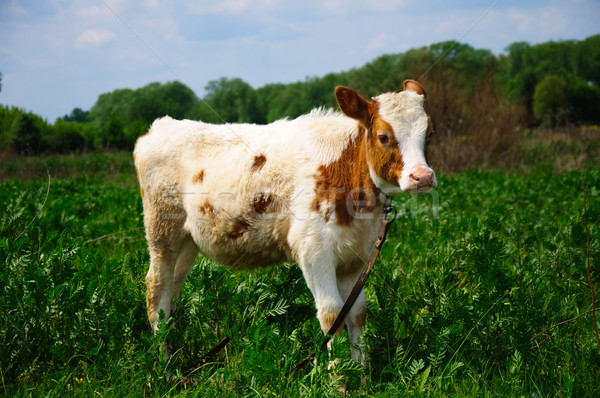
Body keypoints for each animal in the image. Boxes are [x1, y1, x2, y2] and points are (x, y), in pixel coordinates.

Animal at [134, 78, 436, 364]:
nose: (422, 177)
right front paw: (339, 377)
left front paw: (361, 374)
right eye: (384, 136)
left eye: (429, 134)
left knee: (172, 293)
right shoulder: (314, 251)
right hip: (162, 232)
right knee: (156, 291)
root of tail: (161, 127)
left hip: (187, 242)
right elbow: (332, 315)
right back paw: (164, 365)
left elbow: (356, 313)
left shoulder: (355, 256)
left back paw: (174, 354)